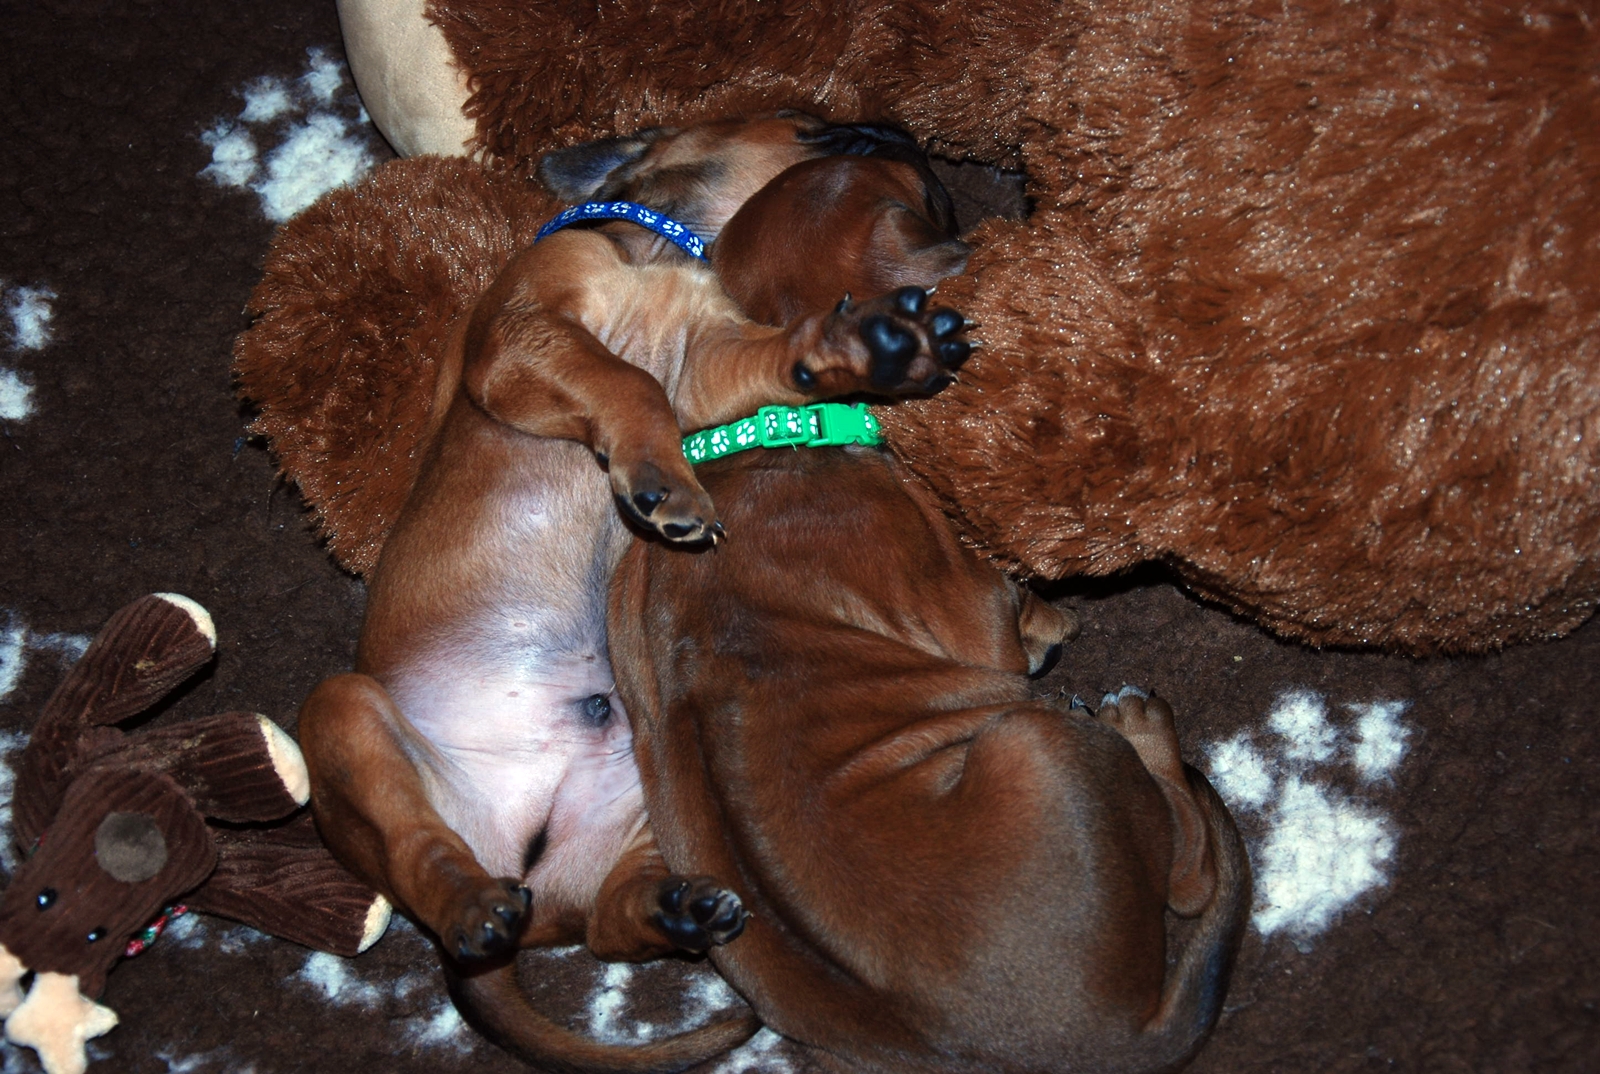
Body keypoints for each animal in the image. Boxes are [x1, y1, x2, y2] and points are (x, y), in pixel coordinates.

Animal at [296, 113, 974, 1072]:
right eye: (819, 127)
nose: (903, 133)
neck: (660, 250)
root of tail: (521, 853)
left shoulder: (711, 361)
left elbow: (753, 359)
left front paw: (859, 346)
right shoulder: (524, 331)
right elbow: (628, 382)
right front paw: (663, 480)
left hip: (653, 791)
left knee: (603, 929)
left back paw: (675, 909)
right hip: (346, 716)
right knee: (415, 848)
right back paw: (470, 904)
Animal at [606, 152, 1252, 1074]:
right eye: (917, 184)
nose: (913, 141)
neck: (775, 427)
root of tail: (1113, 1044)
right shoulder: (968, 613)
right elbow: (1002, 599)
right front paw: (1048, 621)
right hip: (1037, 743)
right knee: (1193, 872)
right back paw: (1140, 726)